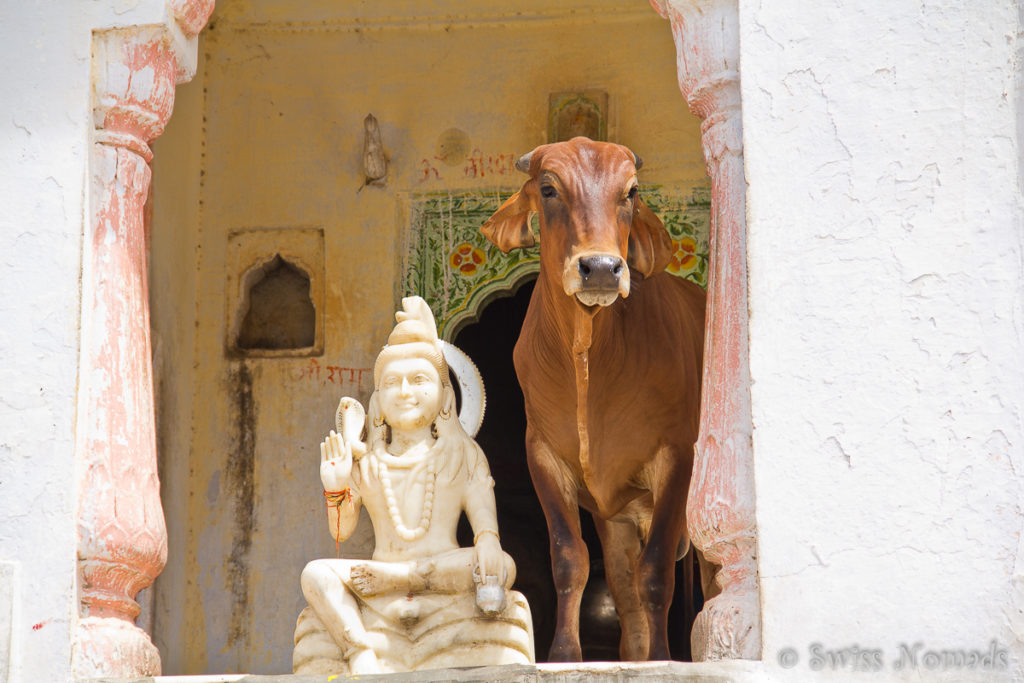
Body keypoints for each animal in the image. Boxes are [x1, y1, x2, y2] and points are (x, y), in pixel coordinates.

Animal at [479, 137, 704, 663]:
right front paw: (564, 655)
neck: (587, 352)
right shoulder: (542, 455)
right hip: (616, 518)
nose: (601, 268)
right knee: (624, 591)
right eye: (548, 189)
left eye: (631, 192)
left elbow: (657, 571)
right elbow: (570, 559)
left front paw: (661, 660)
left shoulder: (676, 457)